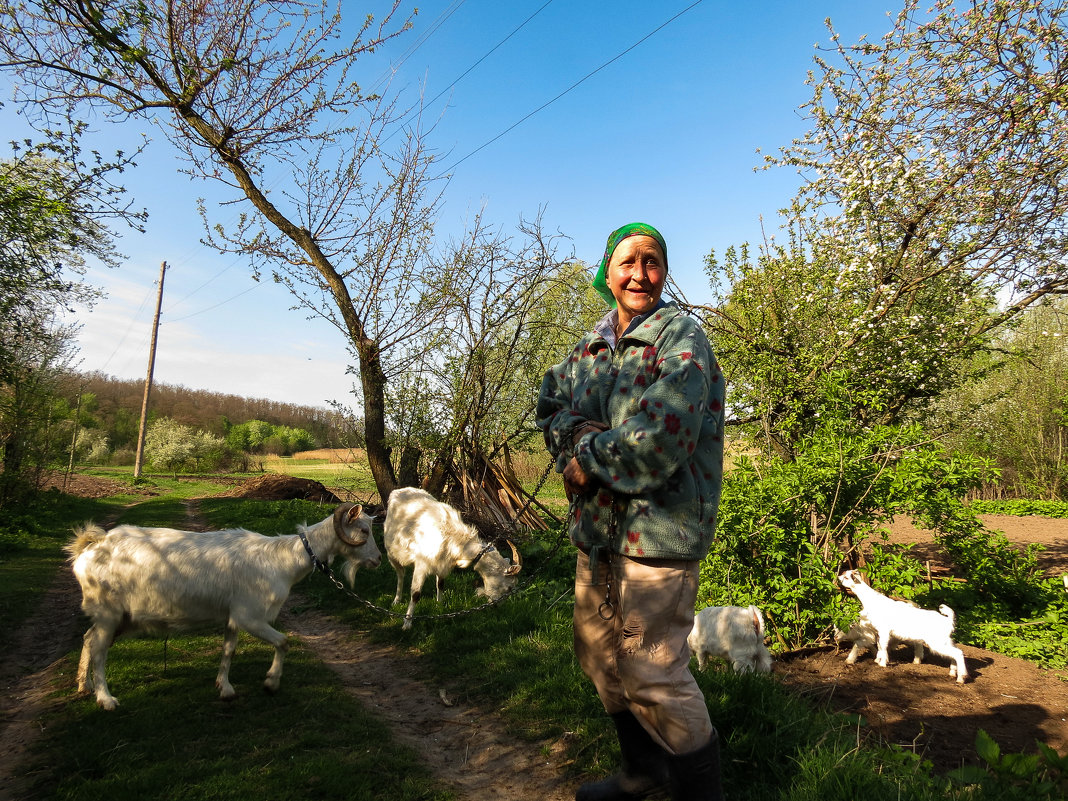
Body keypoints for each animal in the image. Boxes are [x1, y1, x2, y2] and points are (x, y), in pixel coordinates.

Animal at [67, 504, 384, 713]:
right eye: (364, 530)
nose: (379, 560)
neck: (284, 560)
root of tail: (90, 546)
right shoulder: (250, 616)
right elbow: (283, 642)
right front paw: (271, 683)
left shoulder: (233, 617)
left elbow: (228, 650)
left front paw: (226, 689)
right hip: (108, 612)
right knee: (99, 650)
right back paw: (106, 699)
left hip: (118, 618)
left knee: (88, 639)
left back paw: (84, 685)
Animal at [386, 487, 523, 632]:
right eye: (509, 587)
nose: (497, 606)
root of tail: (399, 490)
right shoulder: (422, 564)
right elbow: (416, 594)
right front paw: (407, 623)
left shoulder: (442, 563)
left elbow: (440, 584)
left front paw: (439, 605)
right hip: (391, 553)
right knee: (400, 574)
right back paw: (396, 600)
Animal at [841, 568, 969, 687]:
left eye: (847, 577)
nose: (839, 577)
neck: (872, 602)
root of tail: (948, 620)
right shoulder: (880, 631)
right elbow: (880, 645)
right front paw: (878, 660)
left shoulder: (884, 630)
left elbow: (883, 646)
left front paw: (882, 663)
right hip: (946, 641)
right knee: (955, 652)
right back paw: (952, 673)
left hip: (938, 642)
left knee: (958, 653)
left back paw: (961, 678)